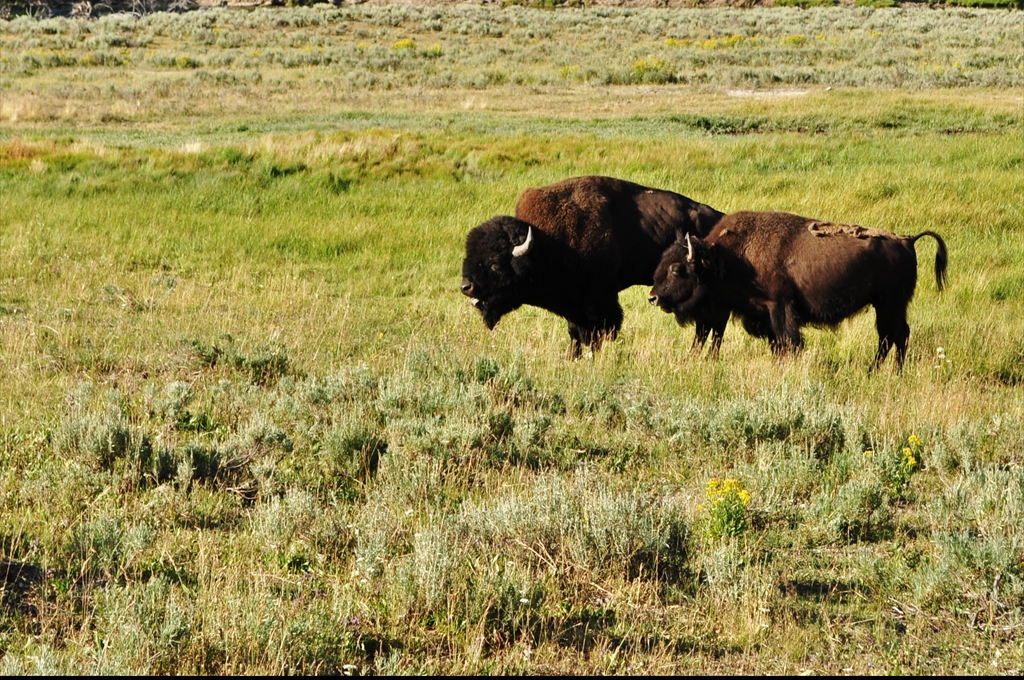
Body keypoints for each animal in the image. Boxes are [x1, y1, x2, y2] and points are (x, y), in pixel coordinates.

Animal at [460, 175, 724, 356]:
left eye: (495, 264)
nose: (466, 286)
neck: (547, 243)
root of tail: (718, 217)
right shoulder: (574, 304)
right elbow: (576, 332)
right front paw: (573, 357)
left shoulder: (598, 300)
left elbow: (598, 330)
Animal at [651, 210, 946, 366]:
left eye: (677, 269)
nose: (653, 297)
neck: (726, 256)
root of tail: (908, 240)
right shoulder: (764, 315)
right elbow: (776, 343)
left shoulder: (780, 308)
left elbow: (787, 341)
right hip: (886, 306)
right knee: (891, 336)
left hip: (890, 304)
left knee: (895, 335)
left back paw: (887, 372)